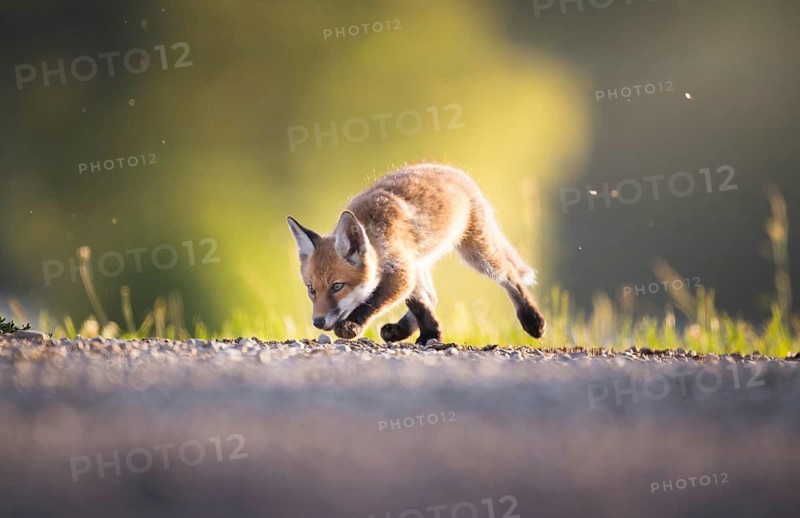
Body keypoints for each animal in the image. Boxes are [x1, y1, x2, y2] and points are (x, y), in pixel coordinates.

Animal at [287, 163, 546, 345]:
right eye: (312, 289)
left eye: (337, 287)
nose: (317, 321)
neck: (377, 236)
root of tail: (454, 171)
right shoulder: (406, 269)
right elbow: (420, 304)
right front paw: (431, 334)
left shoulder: (401, 272)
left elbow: (373, 301)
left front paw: (352, 325)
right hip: (421, 262)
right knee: (430, 297)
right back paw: (401, 330)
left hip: (478, 254)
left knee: (510, 275)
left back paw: (532, 319)